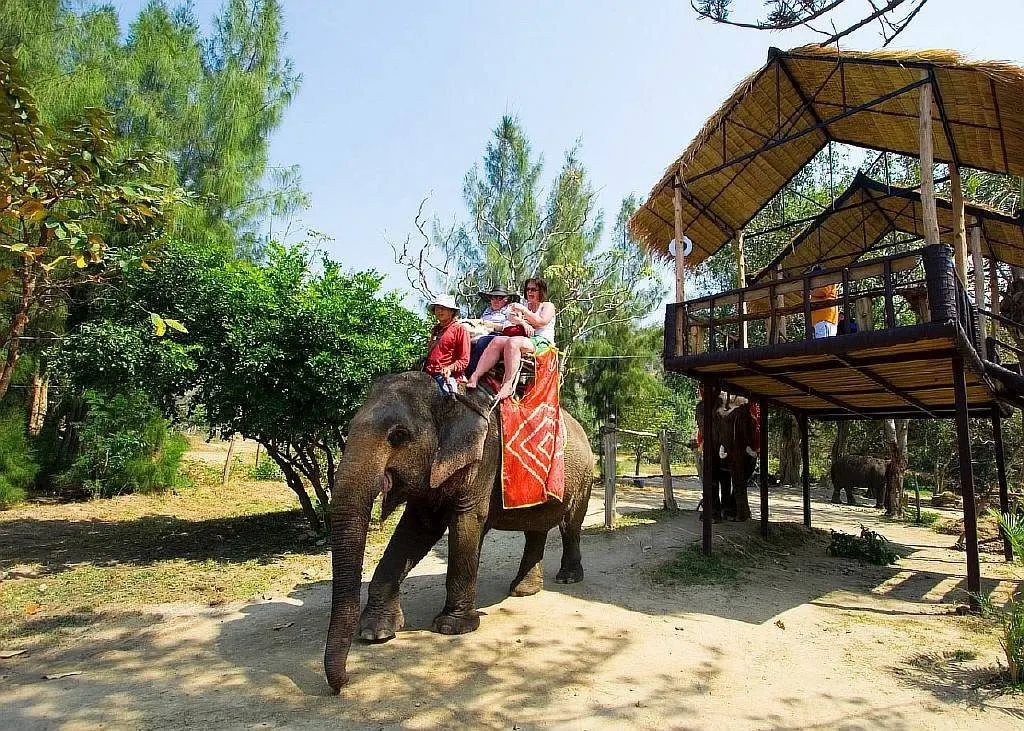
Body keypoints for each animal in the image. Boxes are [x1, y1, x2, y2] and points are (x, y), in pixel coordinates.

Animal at [323, 371, 595, 692]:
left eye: (399, 436)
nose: (345, 682)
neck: (450, 397)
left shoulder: (485, 458)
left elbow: (466, 522)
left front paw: (451, 628)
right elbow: (416, 530)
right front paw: (375, 633)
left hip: (585, 475)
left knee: (570, 525)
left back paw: (567, 579)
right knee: (535, 528)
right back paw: (522, 591)